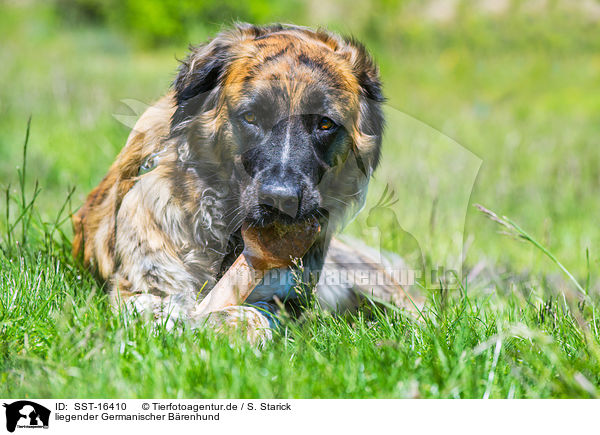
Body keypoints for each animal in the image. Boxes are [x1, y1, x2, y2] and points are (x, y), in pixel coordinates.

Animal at [72, 23, 414, 344]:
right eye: (251, 117)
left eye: (325, 124)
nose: (281, 200)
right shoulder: (143, 283)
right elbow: (157, 306)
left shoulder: (285, 298)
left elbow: (254, 314)